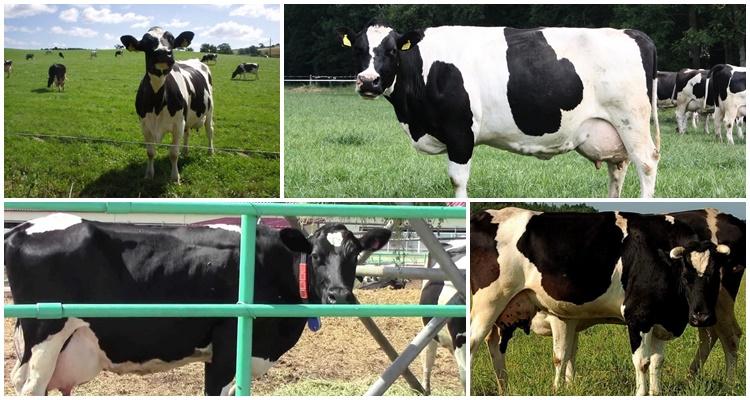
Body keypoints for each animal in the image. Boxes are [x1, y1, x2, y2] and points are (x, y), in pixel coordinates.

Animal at [5, 213, 393, 395]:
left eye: (354, 253)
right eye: (315, 255)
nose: (339, 295)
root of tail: (20, 228)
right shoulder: (227, 348)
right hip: (45, 334)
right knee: (30, 386)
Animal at [121, 26, 215, 184]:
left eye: (171, 39)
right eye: (146, 42)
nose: (163, 52)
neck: (157, 103)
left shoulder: (178, 124)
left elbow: (173, 153)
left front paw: (175, 178)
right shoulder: (145, 125)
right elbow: (150, 152)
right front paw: (149, 174)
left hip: (209, 111)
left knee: (209, 130)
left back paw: (210, 151)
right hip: (187, 117)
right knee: (188, 132)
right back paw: (186, 151)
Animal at [336, 22, 661, 198]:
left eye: (391, 50)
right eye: (358, 50)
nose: (368, 81)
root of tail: (632, 34)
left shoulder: (460, 132)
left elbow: (458, 180)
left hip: (631, 121)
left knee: (646, 163)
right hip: (612, 131)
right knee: (618, 169)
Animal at [469, 207, 731, 395]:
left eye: (716, 276)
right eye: (686, 276)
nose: (701, 317)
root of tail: (483, 215)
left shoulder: (660, 319)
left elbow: (657, 361)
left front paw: (656, 393)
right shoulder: (638, 316)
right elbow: (642, 361)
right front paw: (641, 393)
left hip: (504, 312)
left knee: (495, 345)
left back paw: (504, 388)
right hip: (487, 303)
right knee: (472, 343)